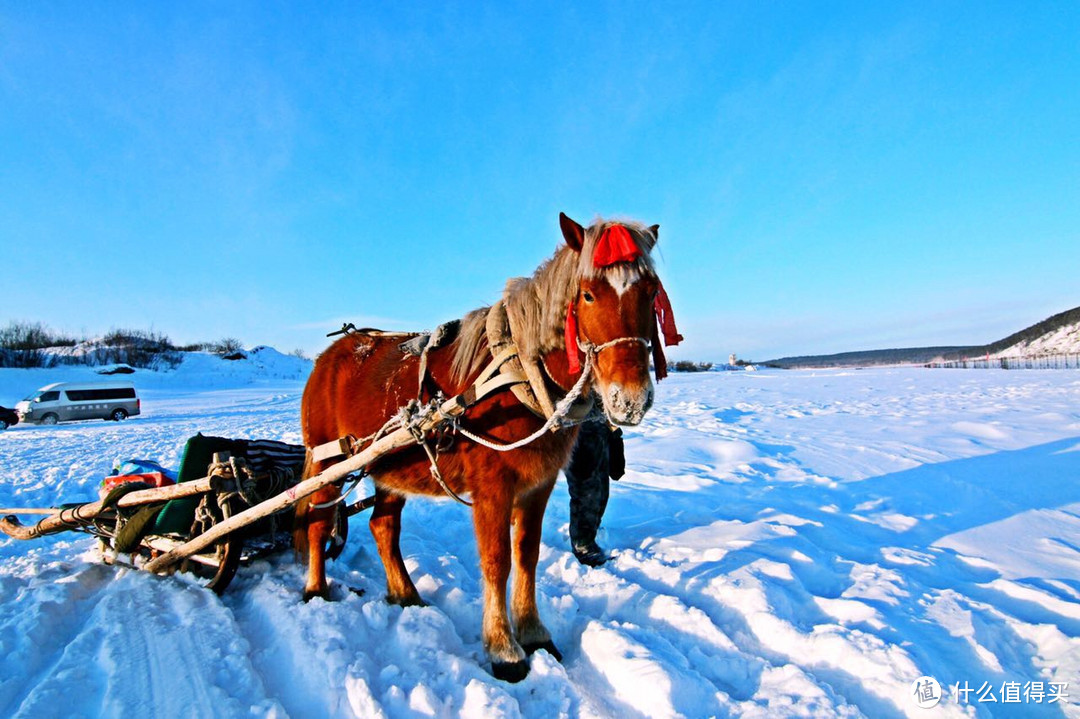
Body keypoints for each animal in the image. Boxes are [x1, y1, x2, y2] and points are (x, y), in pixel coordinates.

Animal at [295, 210, 678, 682]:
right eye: (588, 294)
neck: (518, 376)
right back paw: (316, 589)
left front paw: (533, 633)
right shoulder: (493, 488)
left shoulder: (538, 486)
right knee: (317, 523)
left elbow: (527, 555)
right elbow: (497, 561)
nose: (630, 399)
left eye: (650, 292)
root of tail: (329, 355)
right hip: (328, 461)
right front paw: (504, 650)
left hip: (389, 468)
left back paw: (406, 595)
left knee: (383, 527)